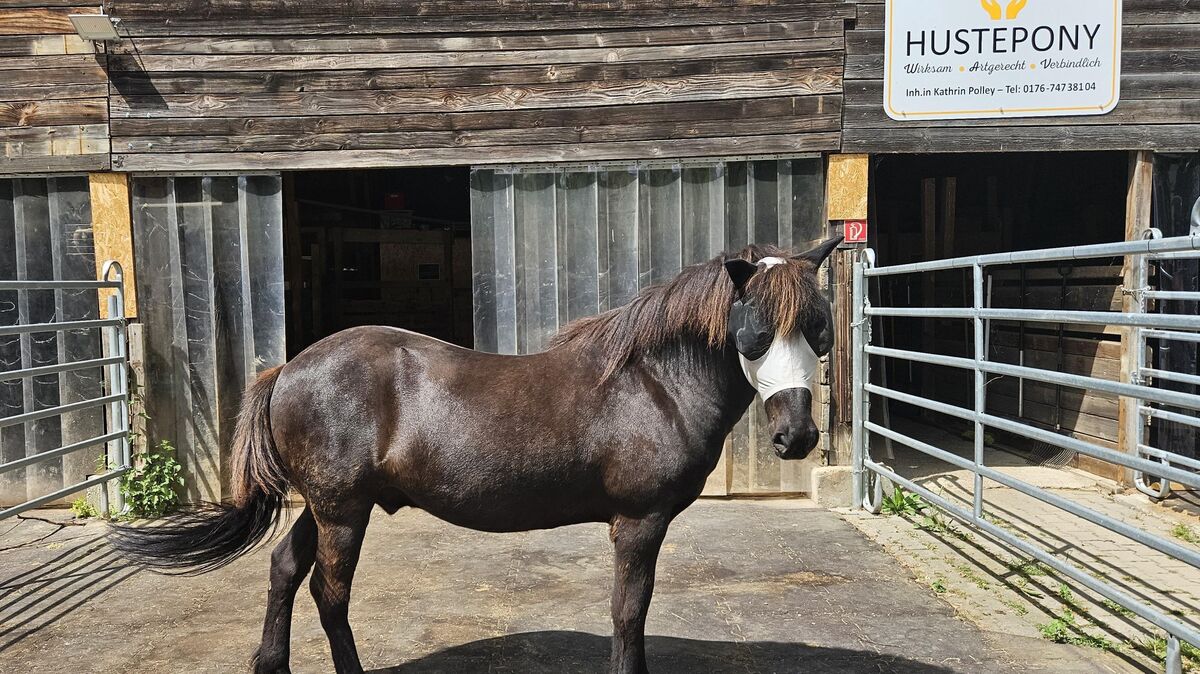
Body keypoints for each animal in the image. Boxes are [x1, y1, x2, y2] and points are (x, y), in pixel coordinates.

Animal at [111, 236, 843, 674]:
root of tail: (287, 370)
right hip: (343, 512)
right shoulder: (639, 522)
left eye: (820, 329)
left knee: (286, 569)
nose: (799, 437)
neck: (651, 383)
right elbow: (629, 610)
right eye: (753, 334)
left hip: (325, 506)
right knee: (328, 591)